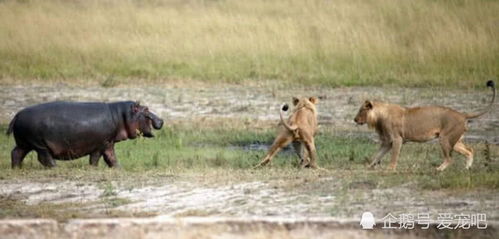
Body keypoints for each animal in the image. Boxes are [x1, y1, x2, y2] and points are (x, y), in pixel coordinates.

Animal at [356, 81, 496, 171]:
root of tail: (462, 114)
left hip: (444, 138)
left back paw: (439, 169)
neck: (380, 115)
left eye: (361, 110)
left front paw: (390, 169)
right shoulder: (387, 141)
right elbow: (377, 155)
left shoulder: (397, 139)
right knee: (469, 150)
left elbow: (394, 156)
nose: (354, 119)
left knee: (449, 158)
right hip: (455, 141)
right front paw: (369, 166)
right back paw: (467, 168)